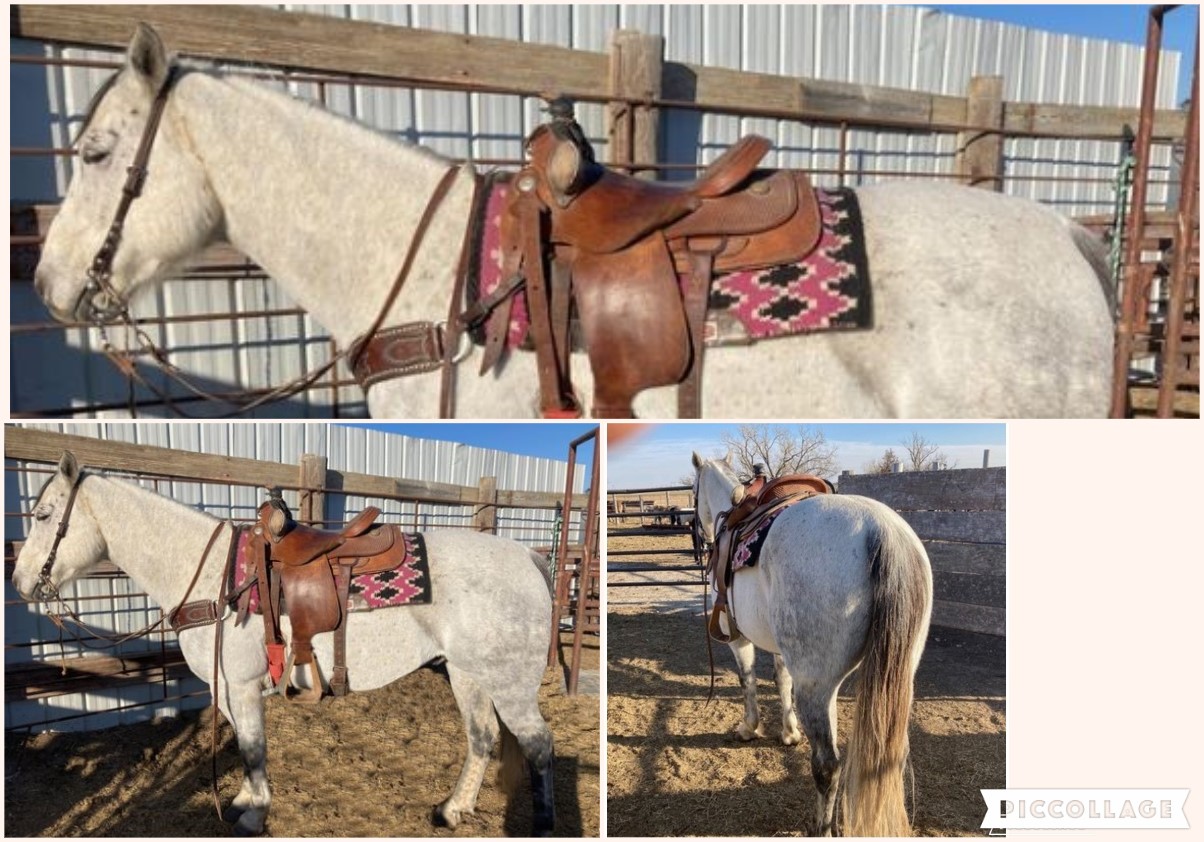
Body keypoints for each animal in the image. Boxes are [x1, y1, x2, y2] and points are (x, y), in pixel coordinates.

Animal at [10, 452, 556, 836]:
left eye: (43, 515)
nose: (19, 582)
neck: (213, 576)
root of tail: (529, 557)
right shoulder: (228, 689)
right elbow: (246, 747)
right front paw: (245, 803)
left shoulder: (242, 685)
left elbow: (252, 748)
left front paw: (254, 817)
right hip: (467, 674)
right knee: (482, 737)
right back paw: (452, 810)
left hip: (509, 685)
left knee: (539, 746)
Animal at [691, 453, 933, 836]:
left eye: (693, 489)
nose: (699, 537)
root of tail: (881, 529)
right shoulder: (782, 652)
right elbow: (781, 681)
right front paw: (789, 733)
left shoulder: (738, 639)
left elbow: (747, 680)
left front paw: (749, 727)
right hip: (895, 676)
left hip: (818, 688)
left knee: (827, 765)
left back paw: (821, 827)